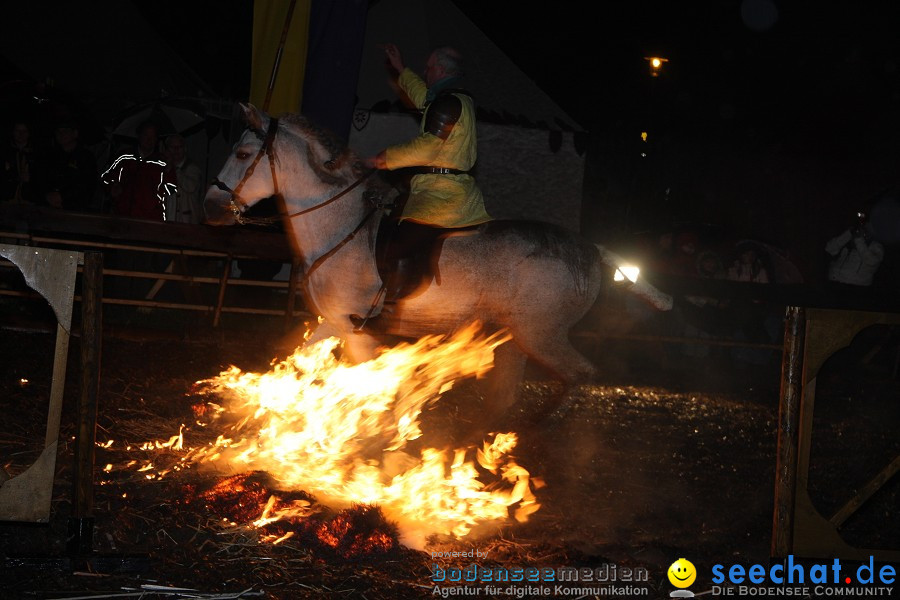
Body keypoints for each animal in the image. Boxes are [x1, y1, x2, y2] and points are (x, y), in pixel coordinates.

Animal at [204, 104, 668, 432]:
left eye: (243, 153)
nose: (212, 207)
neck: (341, 225)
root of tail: (590, 249)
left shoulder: (355, 329)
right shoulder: (332, 321)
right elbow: (299, 358)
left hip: (542, 334)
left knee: (580, 376)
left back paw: (542, 432)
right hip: (517, 337)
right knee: (506, 395)